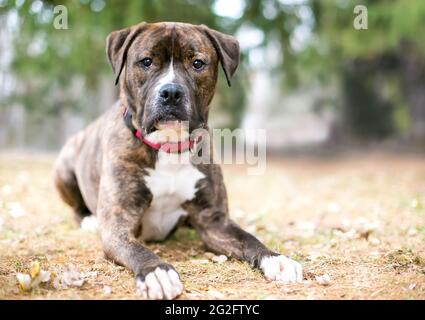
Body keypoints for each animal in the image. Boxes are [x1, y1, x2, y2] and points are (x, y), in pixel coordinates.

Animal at [53, 21, 302, 298]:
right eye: (146, 61)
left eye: (197, 63)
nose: (171, 92)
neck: (169, 146)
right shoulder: (117, 225)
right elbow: (137, 248)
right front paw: (157, 272)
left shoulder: (215, 222)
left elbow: (248, 238)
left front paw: (275, 258)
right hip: (64, 167)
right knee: (76, 208)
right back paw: (88, 220)